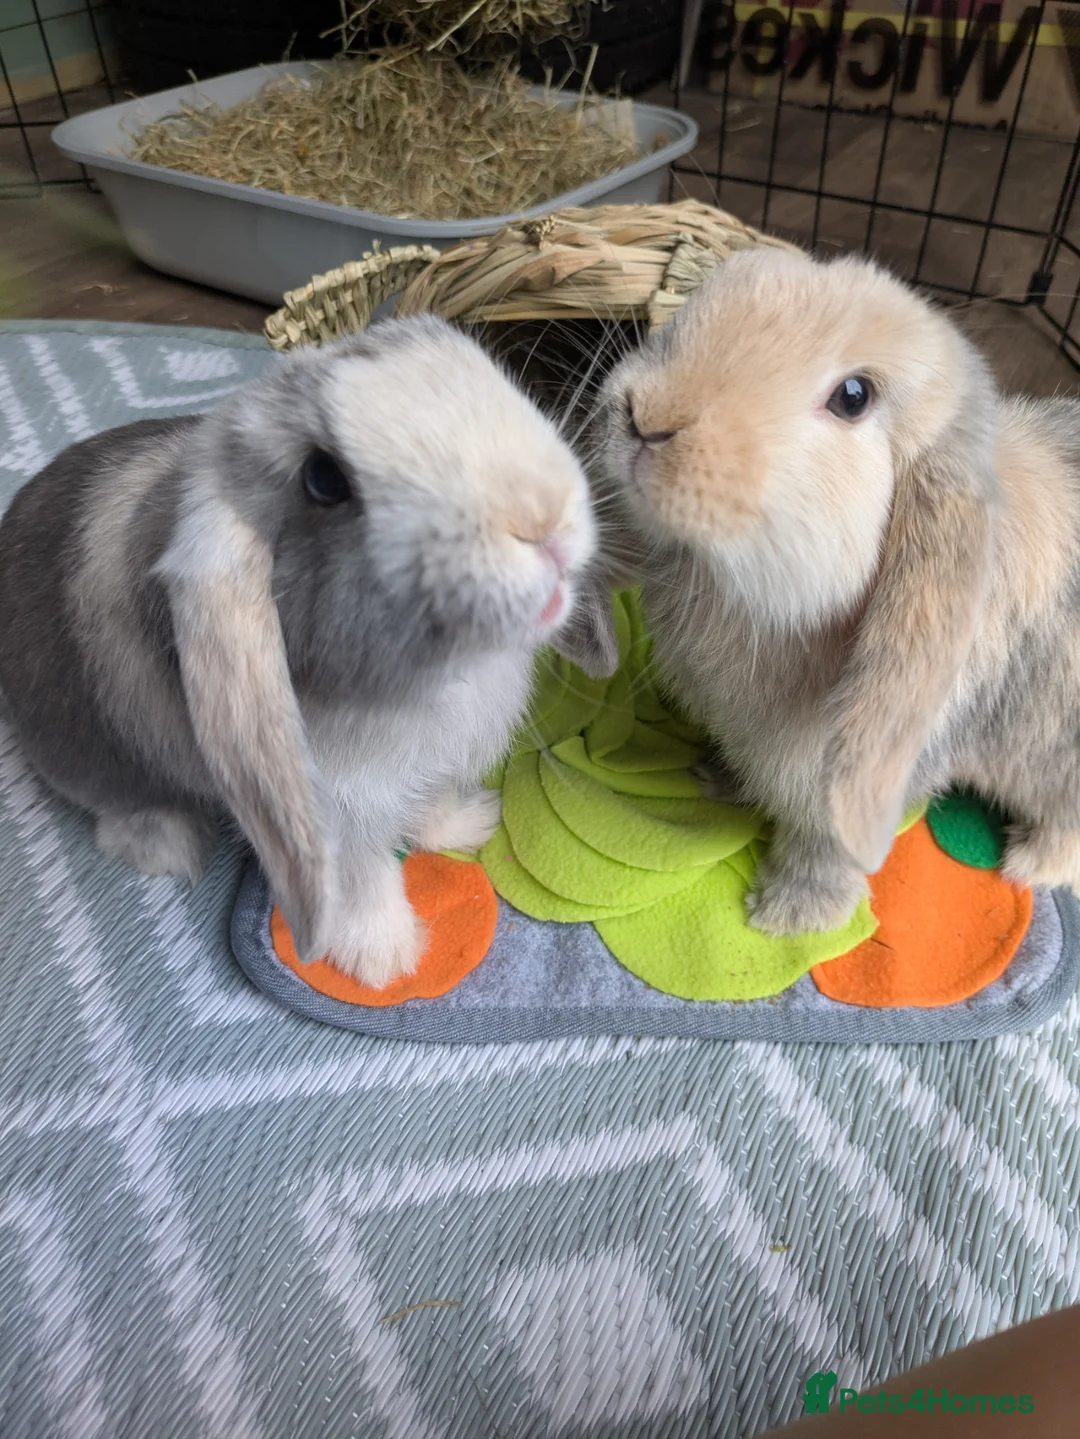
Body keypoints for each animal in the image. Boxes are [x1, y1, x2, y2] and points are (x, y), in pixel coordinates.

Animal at [0, 315, 617, 986]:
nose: (543, 515)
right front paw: (384, 959)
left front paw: (472, 825)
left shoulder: (435, 767)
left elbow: (432, 804)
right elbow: (367, 880)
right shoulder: (342, 816)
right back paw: (168, 844)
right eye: (324, 480)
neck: (444, 678)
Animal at [594, 243, 1080, 936]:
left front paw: (786, 918)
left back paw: (1029, 863)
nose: (645, 416)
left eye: (853, 397)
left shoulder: (840, 783)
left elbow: (823, 851)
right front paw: (717, 778)